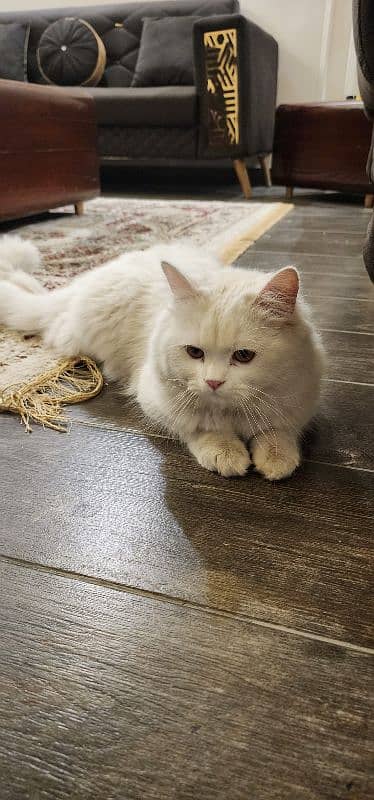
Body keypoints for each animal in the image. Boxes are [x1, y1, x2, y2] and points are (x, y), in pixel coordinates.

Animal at [0, 234, 324, 478]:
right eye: (194, 352)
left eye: (244, 356)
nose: (213, 383)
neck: (231, 414)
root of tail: (90, 278)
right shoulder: (159, 401)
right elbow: (200, 427)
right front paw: (226, 452)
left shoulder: (295, 401)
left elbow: (277, 431)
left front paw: (276, 459)